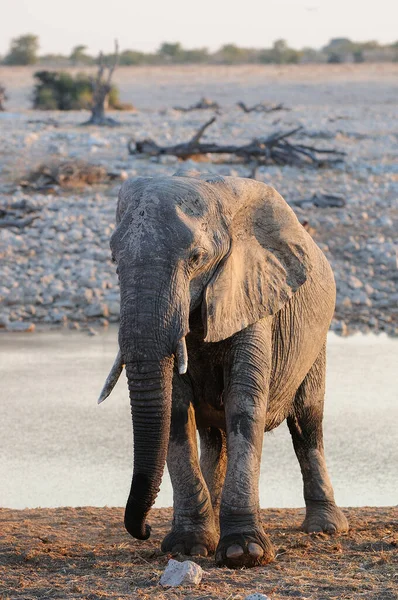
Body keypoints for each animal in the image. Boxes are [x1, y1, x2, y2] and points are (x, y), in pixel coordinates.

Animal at [99, 171, 348, 568]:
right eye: (114, 259)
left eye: (197, 258)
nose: (145, 530)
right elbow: (176, 412)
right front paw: (188, 547)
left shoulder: (254, 290)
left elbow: (245, 406)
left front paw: (242, 553)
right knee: (216, 437)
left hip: (317, 339)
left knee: (307, 421)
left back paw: (325, 528)